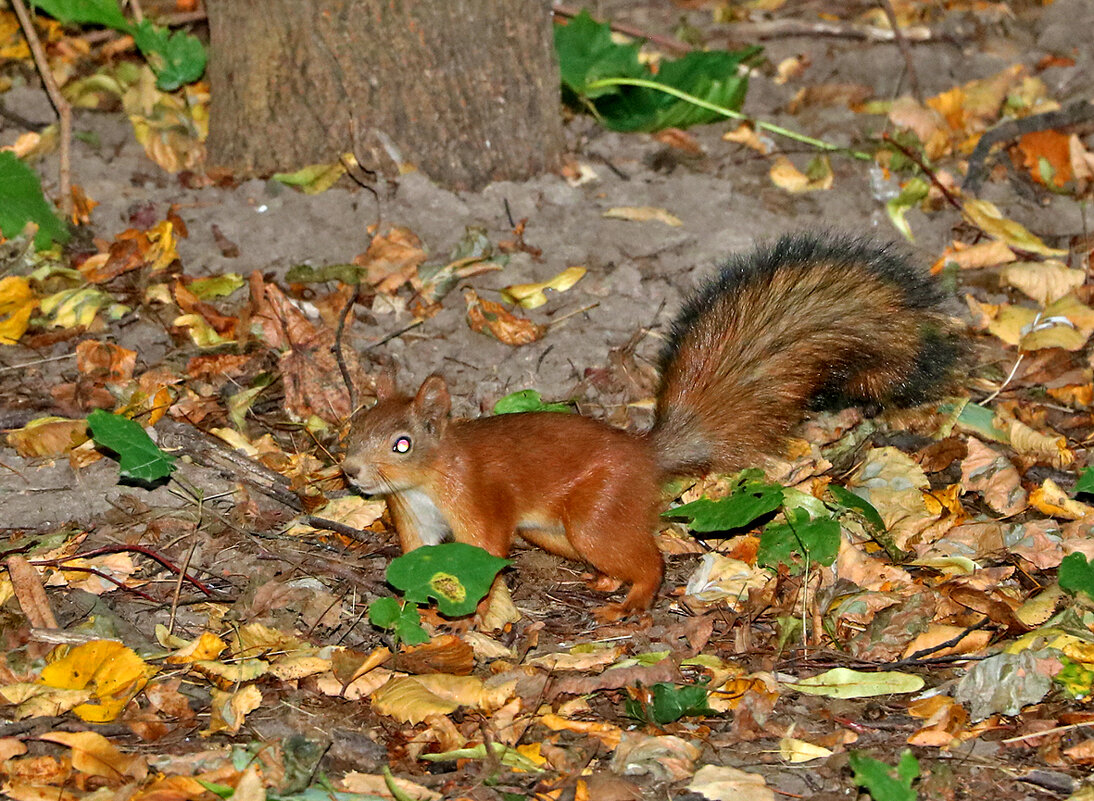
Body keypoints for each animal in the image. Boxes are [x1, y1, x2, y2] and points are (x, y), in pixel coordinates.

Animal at [341, 231, 958, 621]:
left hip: (595, 515)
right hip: (556, 532)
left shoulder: (477, 500)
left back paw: (635, 599)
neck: (429, 481)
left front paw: (474, 618)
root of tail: (644, 455)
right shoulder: (414, 521)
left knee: (651, 561)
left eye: (403, 443)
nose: (351, 472)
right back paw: (606, 582)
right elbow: (416, 562)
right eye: (352, 428)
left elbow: (486, 557)